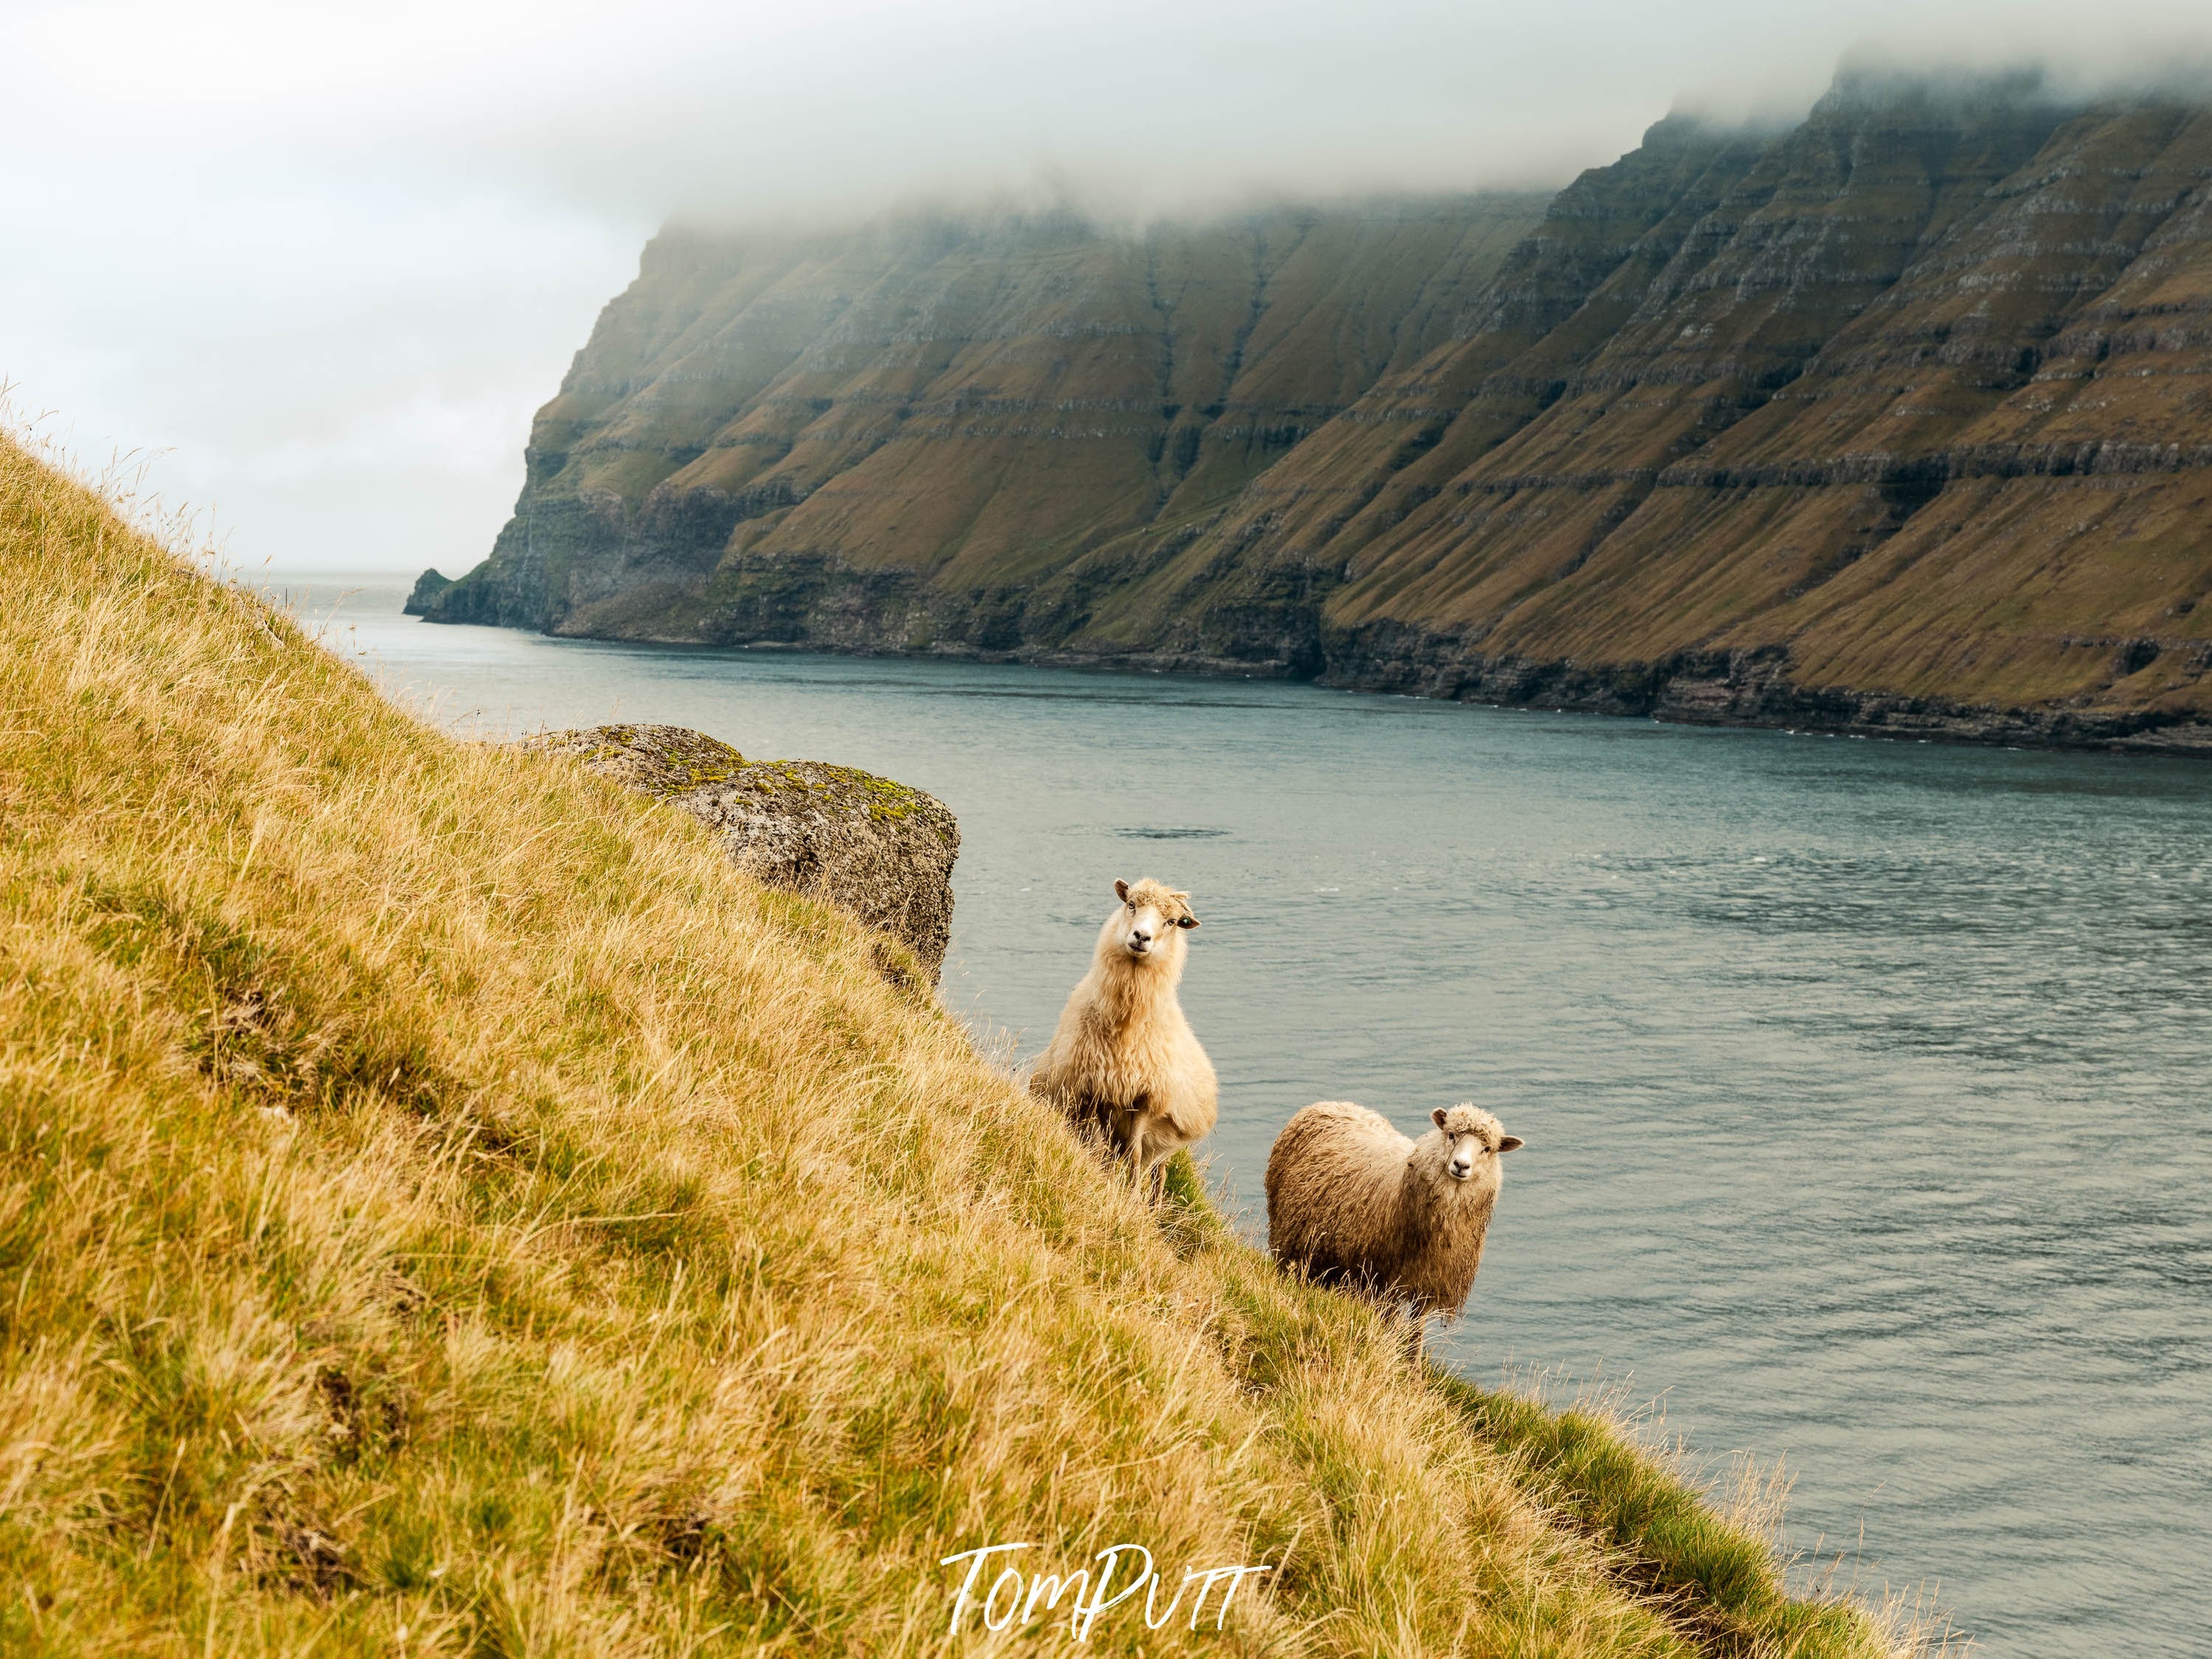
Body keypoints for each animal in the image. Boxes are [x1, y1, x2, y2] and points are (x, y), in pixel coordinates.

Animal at [1026, 876, 1221, 1185]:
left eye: (1172, 922)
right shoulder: (1092, 1091)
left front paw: (1132, 1195)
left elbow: (1135, 1155)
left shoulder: (1145, 1098)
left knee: (1156, 1170)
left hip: (1164, 1139)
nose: (1141, 937)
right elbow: (1095, 1147)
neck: (1126, 1027)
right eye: (1131, 904)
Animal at [1265, 1110, 1522, 1336]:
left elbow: (1416, 1334)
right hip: (1289, 1244)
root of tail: (1328, 1103)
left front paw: (1411, 1361)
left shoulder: (1428, 1284)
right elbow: (1390, 1326)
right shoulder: (1386, 1280)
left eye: (1488, 1149)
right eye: (1451, 1135)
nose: (1461, 1165)